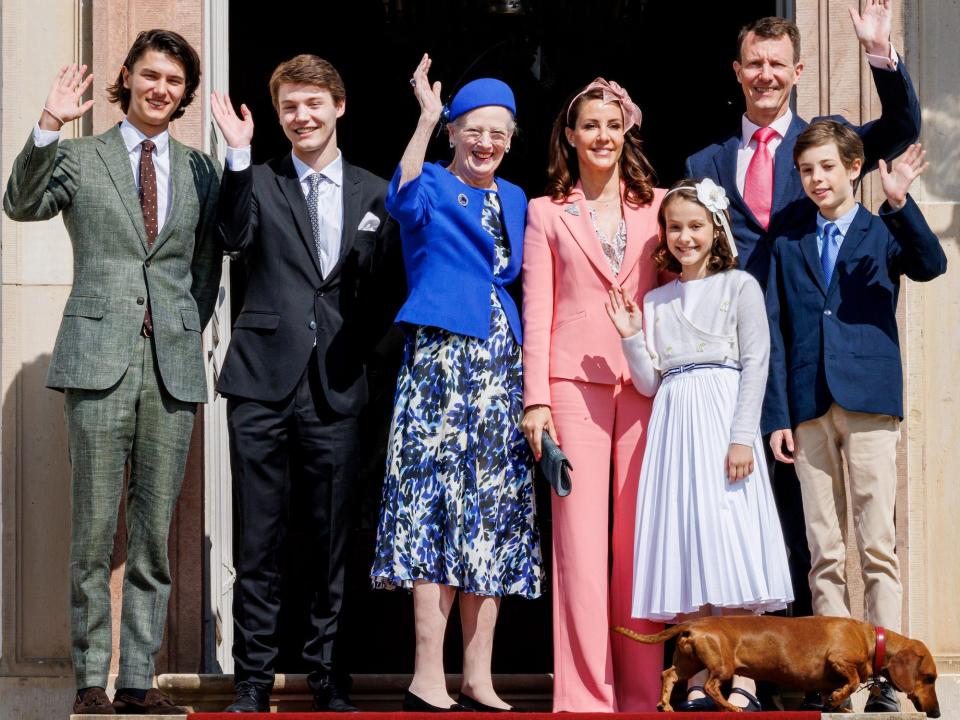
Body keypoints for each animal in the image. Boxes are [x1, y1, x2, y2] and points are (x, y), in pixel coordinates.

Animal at [616, 612, 936, 716]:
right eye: (931, 678)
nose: (936, 713)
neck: (871, 639)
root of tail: (694, 623)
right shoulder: (839, 660)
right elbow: (853, 680)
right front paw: (837, 699)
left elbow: (832, 691)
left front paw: (835, 705)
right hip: (721, 666)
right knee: (710, 687)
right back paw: (731, 707)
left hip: (688, 662)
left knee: (669, 674)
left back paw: (665, 705)